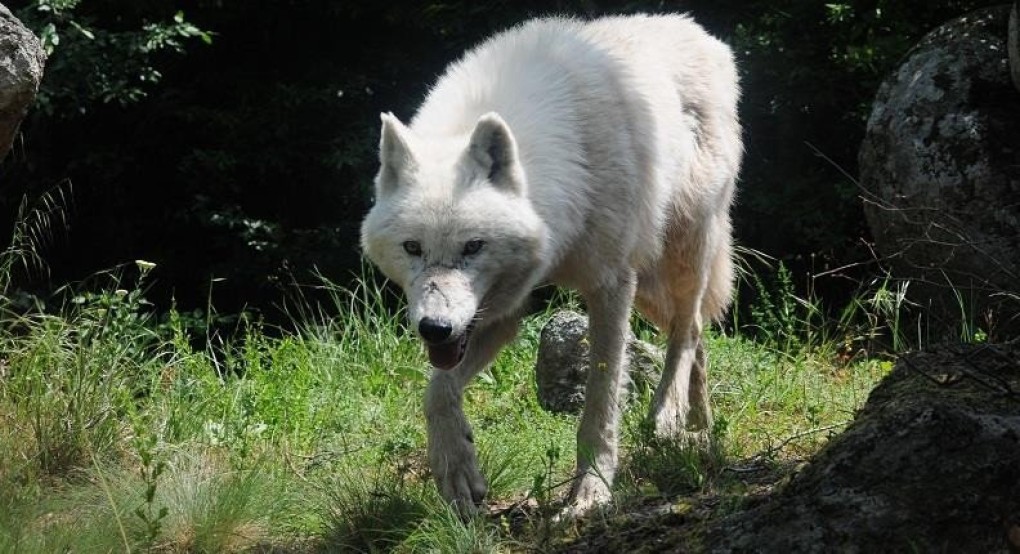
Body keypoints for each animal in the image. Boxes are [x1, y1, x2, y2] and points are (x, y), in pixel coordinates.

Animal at [361, 14, 742, 516]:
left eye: (473, 246)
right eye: (412, 248)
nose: (435, 329)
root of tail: (702, 34)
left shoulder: (610, 285)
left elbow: (600, 405)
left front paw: (590, 493)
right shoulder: (501, 312)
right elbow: (437, 390)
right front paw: (457, 469)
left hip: (677, 251)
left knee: (688, 328)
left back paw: (667, 414)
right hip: (647, 284)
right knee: (697, 328)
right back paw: (700, 425)